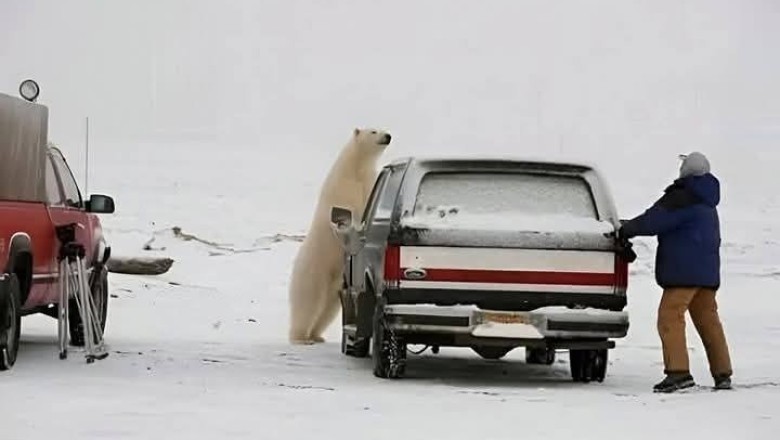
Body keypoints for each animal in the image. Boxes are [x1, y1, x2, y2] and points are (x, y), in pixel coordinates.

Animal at [288, 128, 392, 345]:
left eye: (383, 129)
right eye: (374, 131)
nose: (388, 136)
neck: (355, 167)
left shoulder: (368, 181)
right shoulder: (344, 187)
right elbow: (349, 209)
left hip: (336, 283)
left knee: (328, 309)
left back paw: (317, 335)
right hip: (313, 272)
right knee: (309, 303)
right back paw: (301, 337)